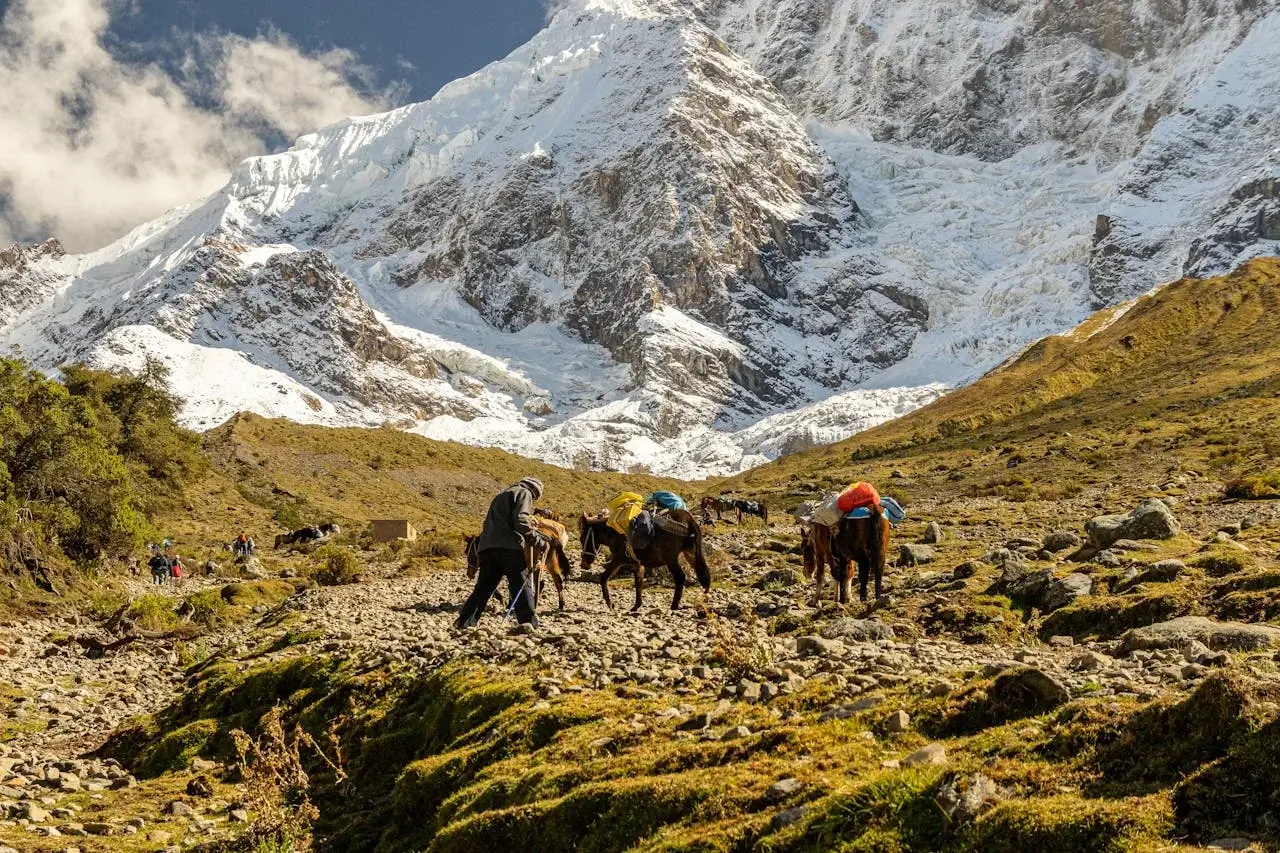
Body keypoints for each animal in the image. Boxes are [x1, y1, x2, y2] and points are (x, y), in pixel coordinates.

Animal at [578, 504, 711, 612]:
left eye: (582, 538)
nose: (583, 564)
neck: (614, 533)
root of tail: (688, 519)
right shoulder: (637, 563)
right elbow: (638, 582)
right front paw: (636, 606)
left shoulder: (618, 559)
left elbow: (603, 577)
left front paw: (610, 604)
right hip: (691, 555)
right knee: (700, 573)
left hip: (671, 559)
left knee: (680, 577)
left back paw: (673, 607)